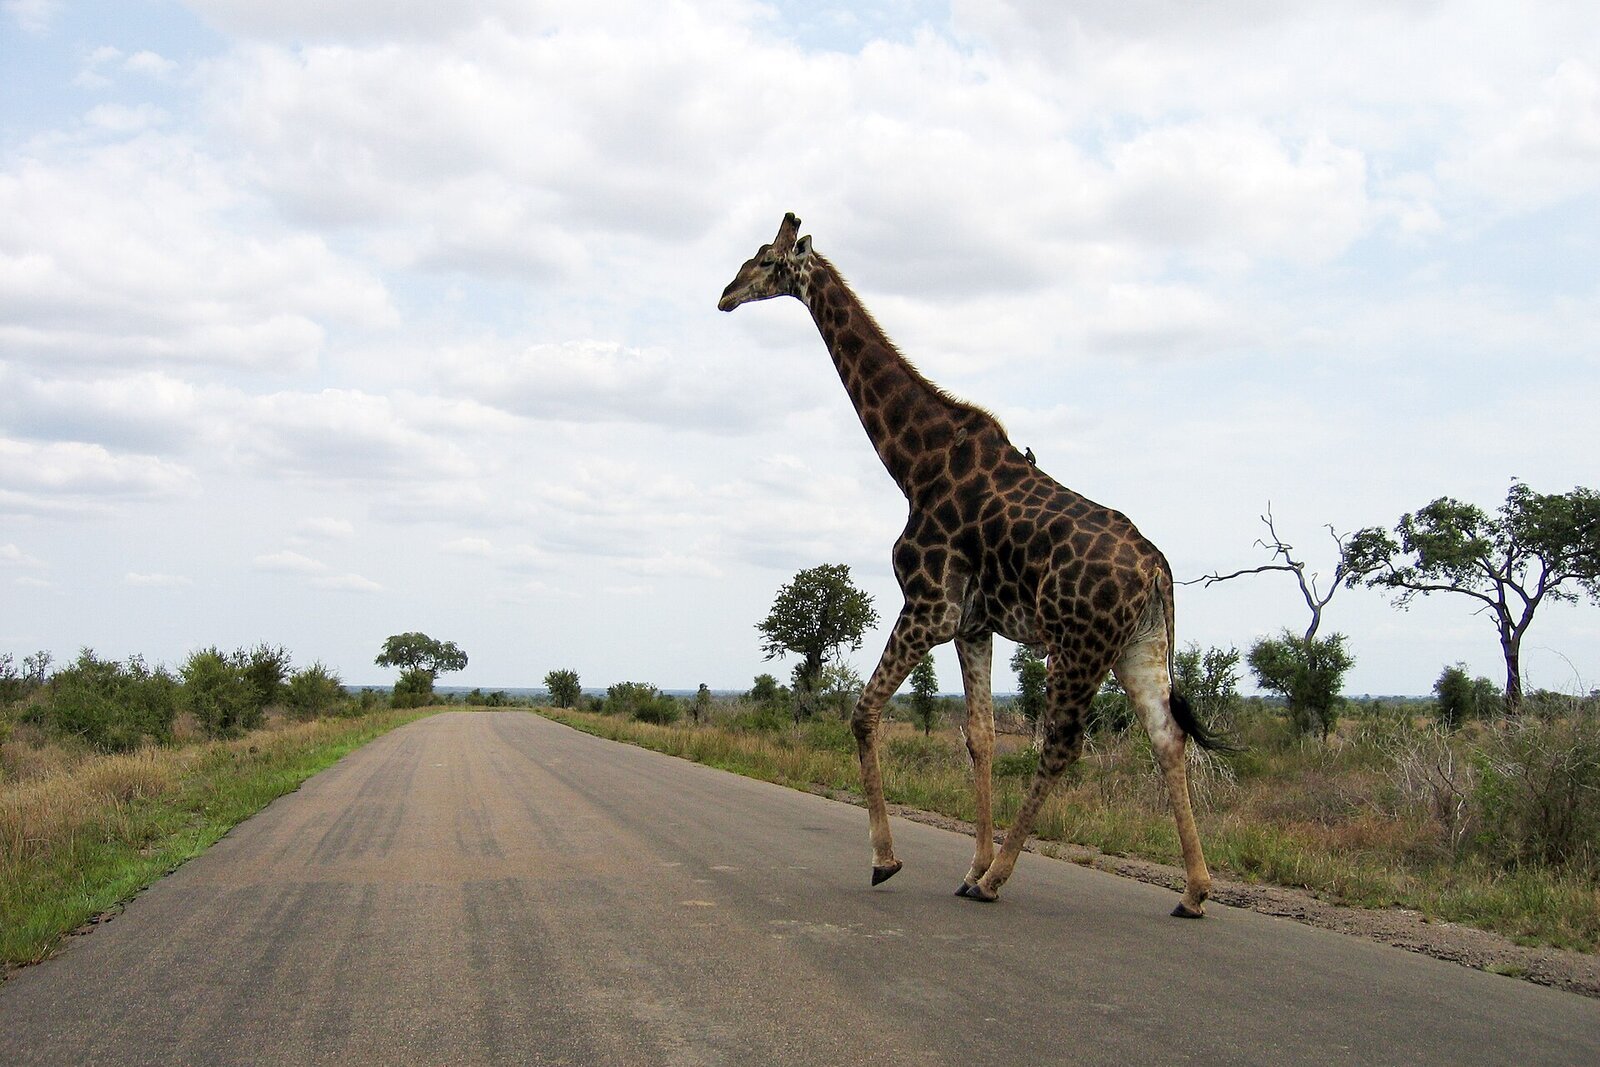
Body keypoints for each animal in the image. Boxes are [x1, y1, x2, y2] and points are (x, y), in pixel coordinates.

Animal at [719, 213, 1230, 916]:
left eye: (767, 261)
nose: (725, 294)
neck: (915, 462)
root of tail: (1156, 571)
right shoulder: (972, 623)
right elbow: (980, 737)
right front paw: (968, 864)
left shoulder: (929, 605)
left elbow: (864, 713)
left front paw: (888, 861)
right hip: (1141, 647)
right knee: (1165, 737)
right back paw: (1194, 891)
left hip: (1078, 646)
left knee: (1062, 744)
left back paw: (998, 882)